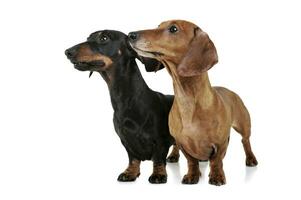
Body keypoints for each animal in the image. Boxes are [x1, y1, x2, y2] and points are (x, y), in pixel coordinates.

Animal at [64, 29, 179, 183]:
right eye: (88, 38)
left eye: (104, 38)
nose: (67, 52)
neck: (127, 101)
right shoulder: (126, 141)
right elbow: (133, 159)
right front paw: (130, 172)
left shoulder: (160, 141)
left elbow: (158, 159)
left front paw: (158, 174)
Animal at [127, 19, 256, 185]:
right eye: (158, 26)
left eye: (173, 29)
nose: (131, 35)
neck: (188, 101)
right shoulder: (183, 143)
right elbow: (191, 161)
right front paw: (192, 175)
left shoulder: (220, 143)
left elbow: (216, 161)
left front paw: (216, 176)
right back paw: (174, 156)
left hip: (244, 125)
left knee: (245, 141)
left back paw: (251, 159)